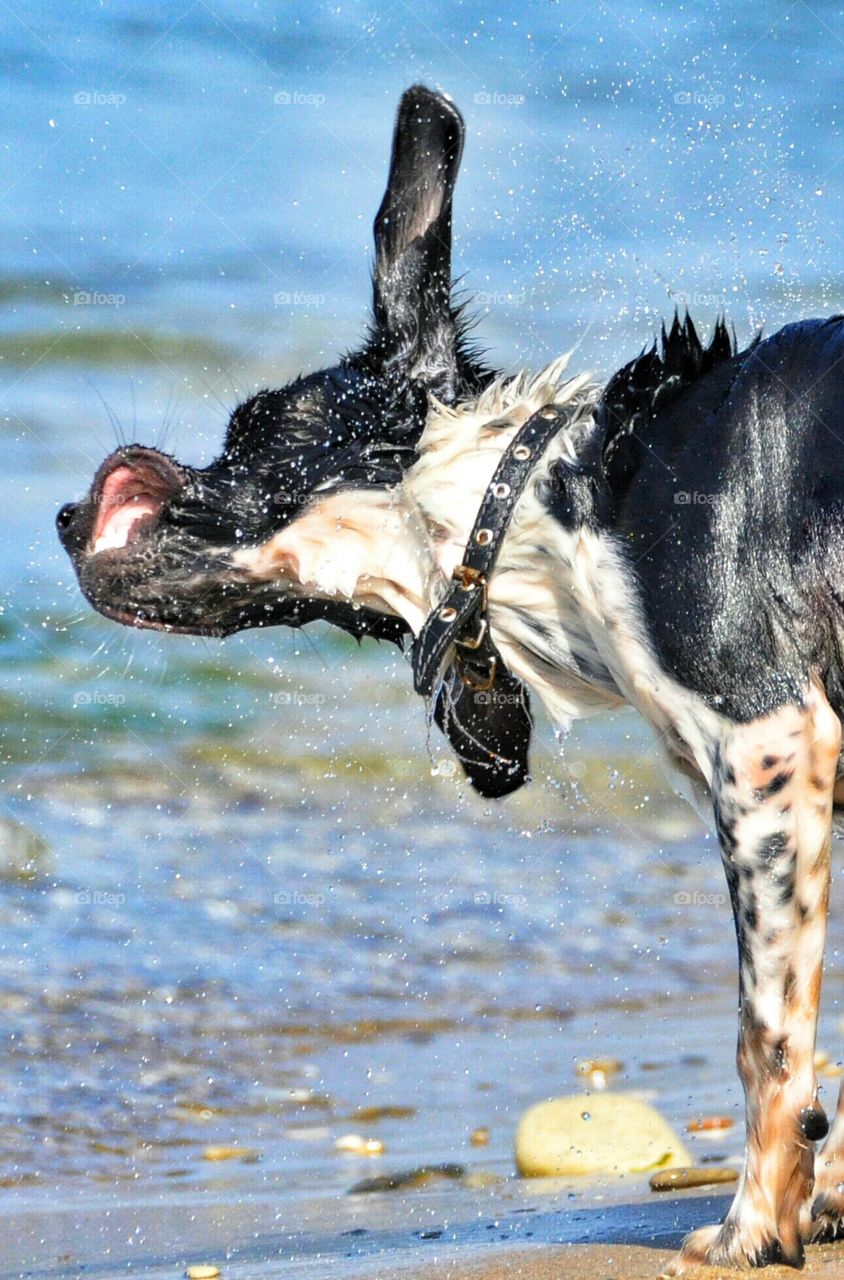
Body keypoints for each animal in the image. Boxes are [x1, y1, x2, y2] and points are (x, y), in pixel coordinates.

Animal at [54, 87, 844, 1269]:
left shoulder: (767, 736)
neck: (561, 497)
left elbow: (767, 1033)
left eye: (251, 423)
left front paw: (756, 1219)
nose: (63, 514)